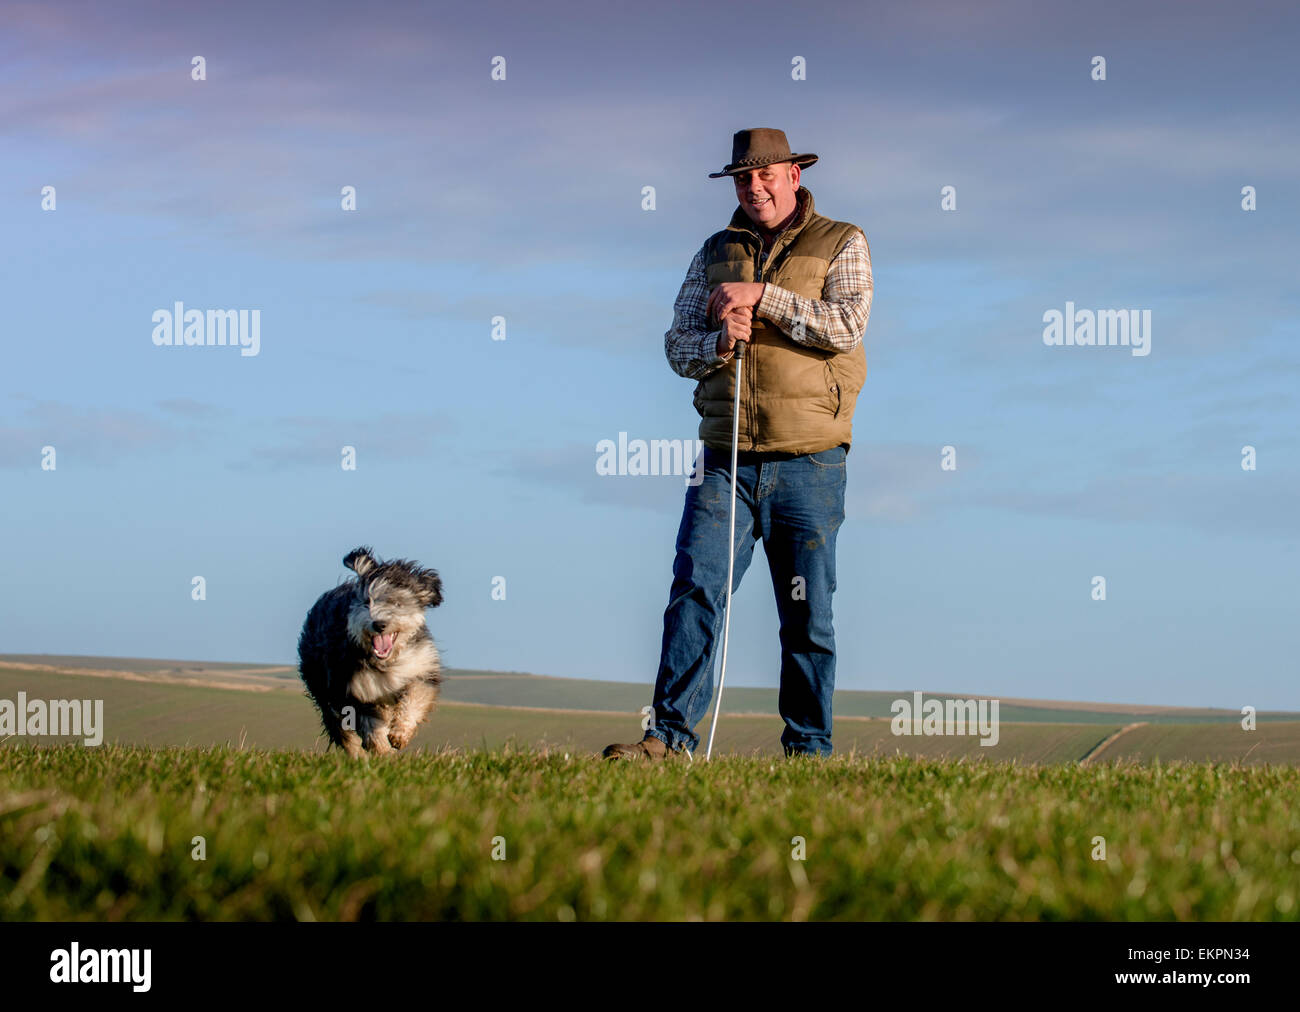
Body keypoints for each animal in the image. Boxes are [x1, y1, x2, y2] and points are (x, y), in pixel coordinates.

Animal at [297, 548, 444, 754]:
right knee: (342, 731)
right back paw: (357, 754)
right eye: (367, 602)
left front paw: (400, 735)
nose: (379, 624)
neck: (386, 662)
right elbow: (369, 725)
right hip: (323, 691)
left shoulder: (420, 669)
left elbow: (414, 700)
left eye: (397, 603)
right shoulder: (352, 690)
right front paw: (382, 750)